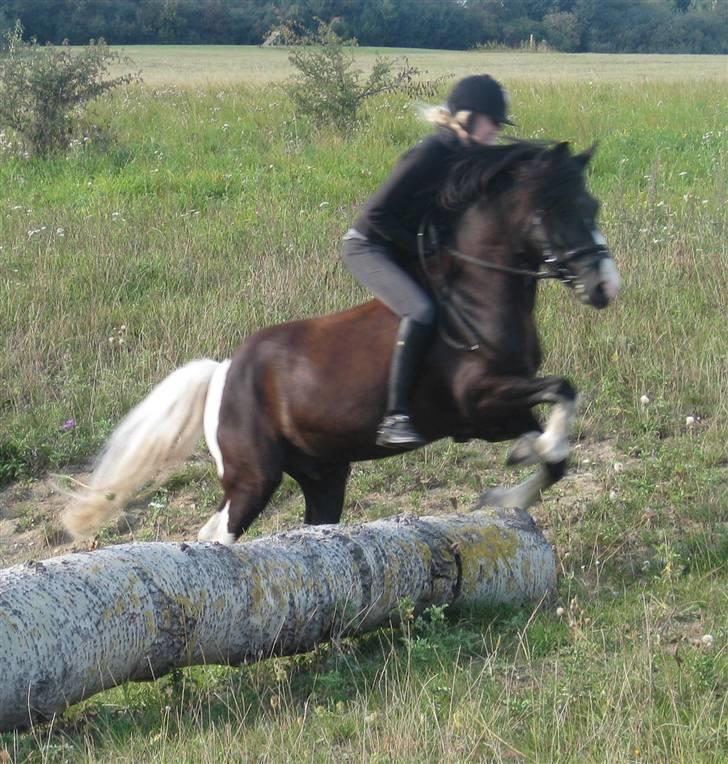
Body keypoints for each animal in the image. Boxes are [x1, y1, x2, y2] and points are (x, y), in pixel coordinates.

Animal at [62, 140, 621, 545]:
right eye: (559, 207)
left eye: (593, 204)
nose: (605, 286)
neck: (480, 298)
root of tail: (223, 370)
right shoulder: (480, 399)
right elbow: (563, 391)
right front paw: (521, 470)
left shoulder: (496, 413)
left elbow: (556, 452)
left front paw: (511, 486)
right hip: (253, 476)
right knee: (221, 533)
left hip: (323, 474)